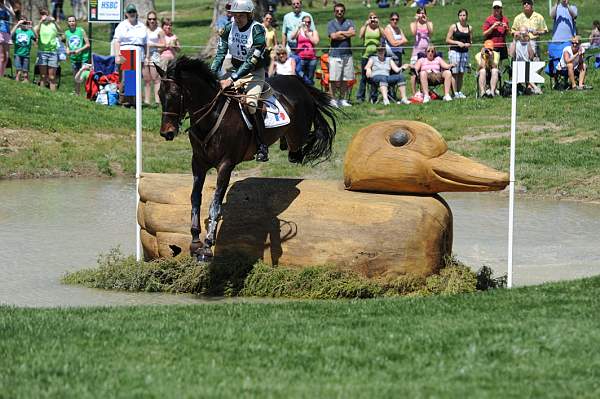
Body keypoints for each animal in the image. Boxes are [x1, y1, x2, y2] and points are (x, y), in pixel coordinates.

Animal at [156, 56, 338, 262]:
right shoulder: (198, 163)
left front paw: (207, 245)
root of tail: (297, 81)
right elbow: (195, 198)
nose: (167, 133)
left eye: (175, 95)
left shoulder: (225, 165)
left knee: (303, 144)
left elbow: (215, 203)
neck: (211, 117)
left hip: (298, 133)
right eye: (160, 95)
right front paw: (195, 241)